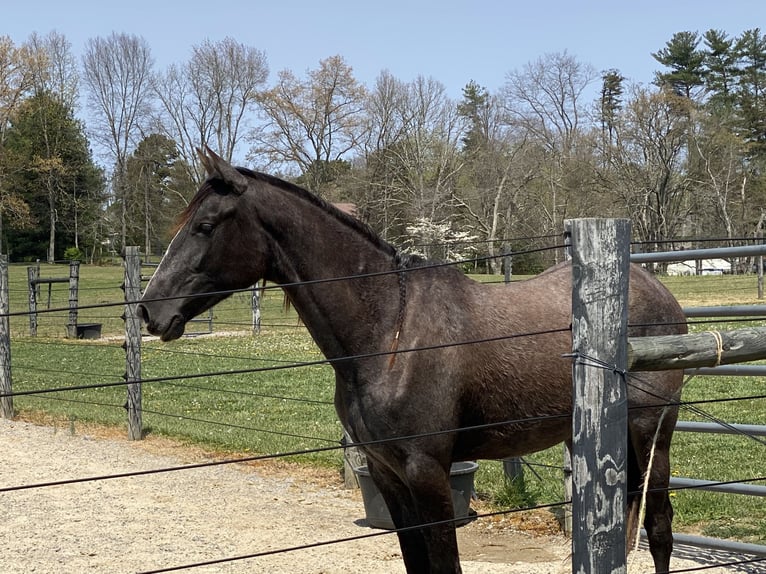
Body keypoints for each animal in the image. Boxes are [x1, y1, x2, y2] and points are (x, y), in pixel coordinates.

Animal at [138, 147, 687, 573]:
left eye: (205, 226)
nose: (148, 311)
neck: (390, 333)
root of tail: (656, 288)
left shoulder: (427, 472)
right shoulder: (389, 475)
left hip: (652, 435)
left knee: (659, 528)